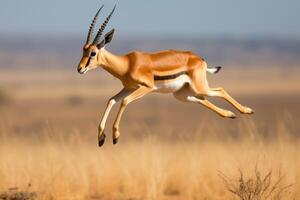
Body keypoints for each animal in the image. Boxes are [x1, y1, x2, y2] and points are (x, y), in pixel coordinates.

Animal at [77, 4, 253, 147]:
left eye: (93, 53)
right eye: (83, 50)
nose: (80, 69)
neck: (127, 63)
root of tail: (198, 58)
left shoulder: (146, 87)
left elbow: (124, 102)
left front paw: (116, 136)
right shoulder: (129, 87)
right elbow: (111, 100)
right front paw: (101, 138)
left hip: (200, 87)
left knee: (220, 90)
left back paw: (247, 110)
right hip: (183, 95)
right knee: (203, 100)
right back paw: (230, 114)